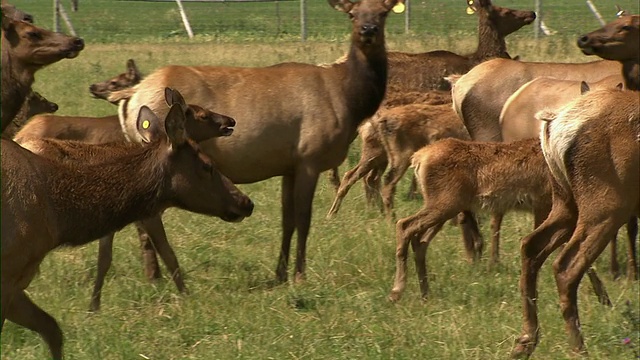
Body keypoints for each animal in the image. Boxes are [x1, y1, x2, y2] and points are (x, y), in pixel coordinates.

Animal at [0, 103, 255, 360]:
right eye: (207, 165)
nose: (245, 202)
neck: (59, 217)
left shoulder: (16, 283)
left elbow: (53, 325)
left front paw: (94, 307)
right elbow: (167, 253)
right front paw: (185, 296)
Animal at [117, 0, 400, 282]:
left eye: (383, 12)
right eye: (352, 13)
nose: (368, 30)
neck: (350, 101)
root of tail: (132, 94)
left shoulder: (289, 166)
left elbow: (288, 220)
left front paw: (281, 273)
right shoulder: (309, 158)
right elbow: (304, 219)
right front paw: (299, 275)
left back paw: (153, 274)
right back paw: (156, 276)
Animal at [510, 88, 640, 358]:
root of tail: (553, 125)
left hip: (565, 202)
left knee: (530, 245)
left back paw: (525, 341)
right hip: (606, 205)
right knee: (565, 266)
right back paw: (579, 349)